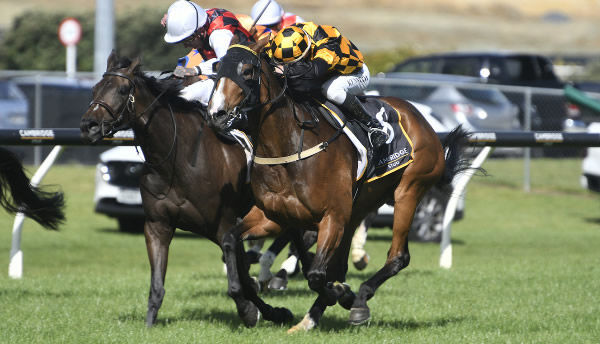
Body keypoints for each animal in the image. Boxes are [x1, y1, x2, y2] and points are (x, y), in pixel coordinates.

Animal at [79, 51, 296, 328]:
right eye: (95, 88)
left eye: (122, 89)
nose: (89, 126)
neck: (178, 160)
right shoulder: (158, 225)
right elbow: (158, 284)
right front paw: (149, 323)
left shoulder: (224, 225)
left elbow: (241, 279)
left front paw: (254, 311)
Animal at [209, 40, 472, 334]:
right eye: (218, 67)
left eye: (247, 71)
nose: (216, 114)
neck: (288, 147)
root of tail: (420, 117)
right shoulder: (273, 216)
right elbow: (230, 240)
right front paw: (246, 302)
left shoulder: (331, 217)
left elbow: (315, 274)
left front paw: (343, 294)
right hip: (359, 206)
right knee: (343, 263)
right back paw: (312, 318)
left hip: (409, 191)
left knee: (398, 256)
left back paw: (358, 299)